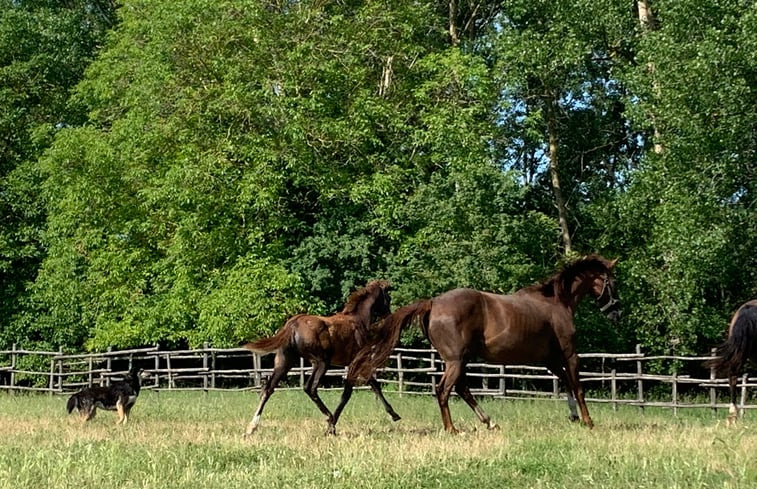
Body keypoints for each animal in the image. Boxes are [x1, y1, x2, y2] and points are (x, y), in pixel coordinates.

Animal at [242, 278, 398, 434]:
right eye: (388, 298)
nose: (389, 315)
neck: (359, 320)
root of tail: (292, 324)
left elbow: (372, 386)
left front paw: (394, 414)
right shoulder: (358, 362)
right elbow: (350, 393)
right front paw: (331, 427)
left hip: (285, 362)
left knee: (268, 389)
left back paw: (251, 427)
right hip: (321, 362)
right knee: (310, 388)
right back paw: (329, 417)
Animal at [348, 255, 620, 430]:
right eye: (612, 282)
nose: (616, 312)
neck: (556, 303)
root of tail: (433, 303)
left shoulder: (550, 360)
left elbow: (566, 384)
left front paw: (574, 417)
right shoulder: (569, 354)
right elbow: (577, 386)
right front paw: (588, 421)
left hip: (461, 360)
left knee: (461, 389)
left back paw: (488, 422)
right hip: (456, 361)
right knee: (444, 390)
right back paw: (452, 429)